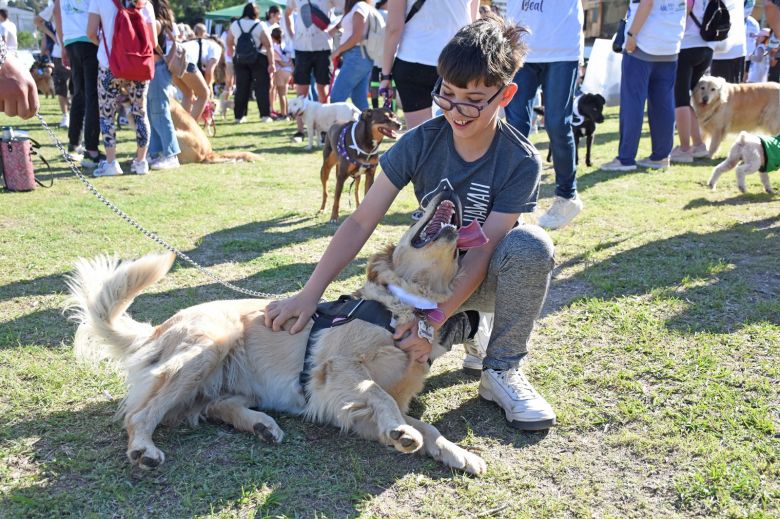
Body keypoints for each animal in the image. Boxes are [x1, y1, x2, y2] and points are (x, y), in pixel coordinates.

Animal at [68, 193, 488, 478]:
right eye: (418, 213)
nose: (445, 186)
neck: (403, 307)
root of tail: (157, 329)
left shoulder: (352, 413)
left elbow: (427, 426)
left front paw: (458, 452)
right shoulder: (336, 374)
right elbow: (378, 392)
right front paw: (401, 431)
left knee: (213, 407)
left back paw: (262, 426)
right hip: (209, 346)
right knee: (140, 415)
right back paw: (144, 448)